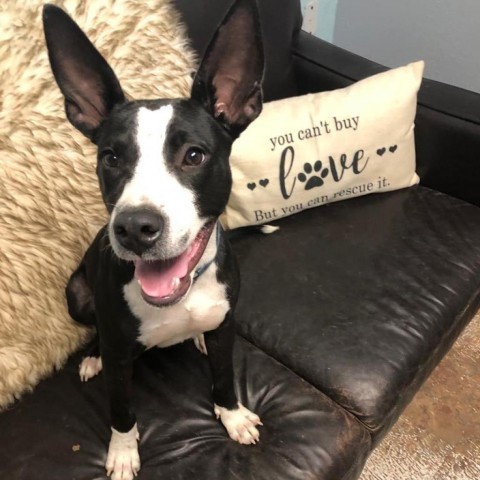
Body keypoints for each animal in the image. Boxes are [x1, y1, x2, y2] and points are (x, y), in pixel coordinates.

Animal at [43, 0, 264, 476]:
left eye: (194, 155)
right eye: (111, 158)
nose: (134, 228)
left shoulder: (226, 327)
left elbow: (224, 376)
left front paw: (232, 415)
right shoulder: (121, 356)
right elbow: (121, 409)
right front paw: (123, 452)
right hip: (76, 293)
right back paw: (92, 356)